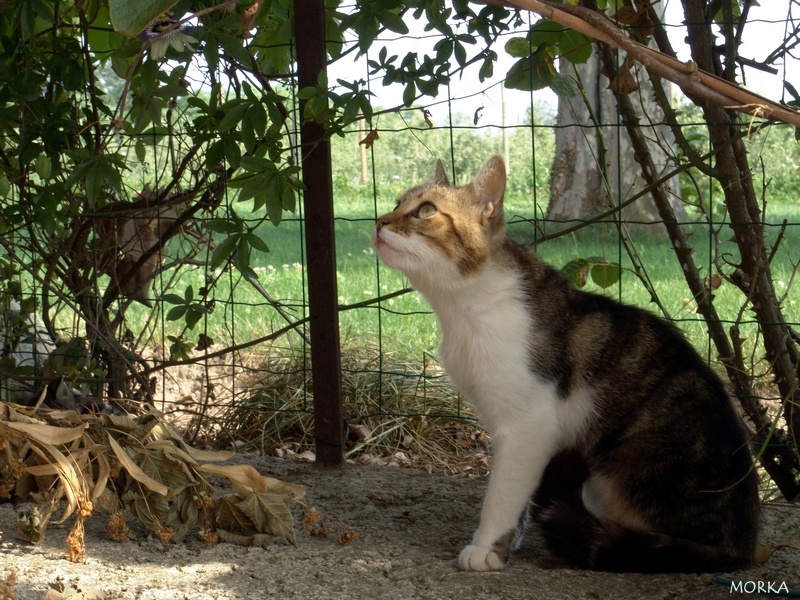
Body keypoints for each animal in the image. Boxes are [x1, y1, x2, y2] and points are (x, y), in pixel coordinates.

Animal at [372, 154, 760, 572]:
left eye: (426, 210)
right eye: (396, 203)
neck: (464, 307)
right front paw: (509, 544)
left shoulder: (528, 424)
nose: (380, 221)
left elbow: (502, 493)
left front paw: (487, 546)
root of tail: (742, 545)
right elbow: (521, 494)